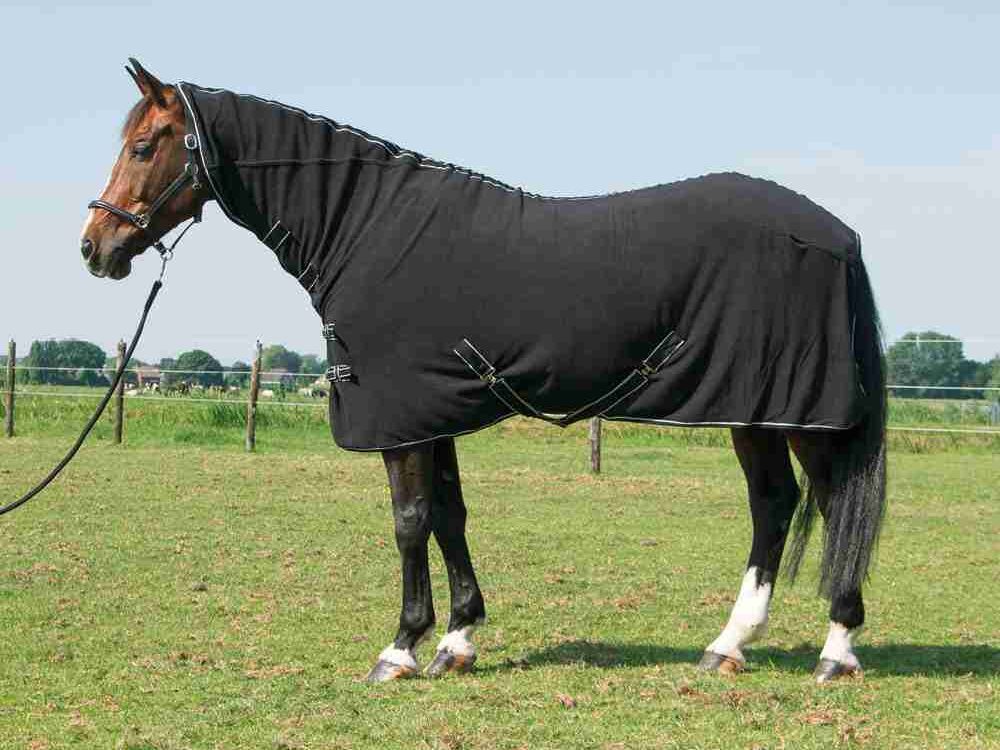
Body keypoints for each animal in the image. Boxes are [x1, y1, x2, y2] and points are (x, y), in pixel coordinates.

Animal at [80, 59, 886, 683]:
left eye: (145, 144)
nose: (95, 246)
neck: (368, 230)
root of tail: (837, 234)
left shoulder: (402, 419)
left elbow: (409, 522)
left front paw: (400, 649)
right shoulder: (431, 409)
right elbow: (449, 515)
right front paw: (458, 639)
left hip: (795, 411)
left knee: (823, 500)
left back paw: (836, 651)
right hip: (756, 411)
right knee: (775, 505)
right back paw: (727, 646)